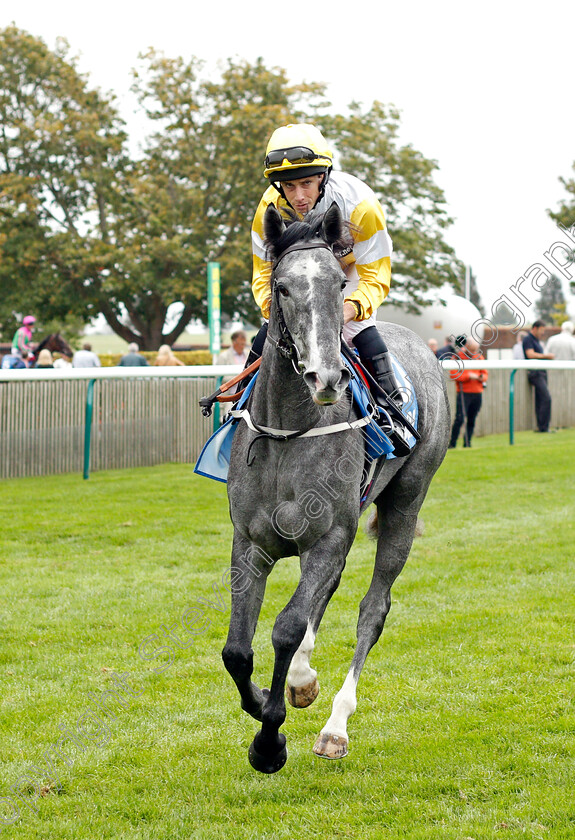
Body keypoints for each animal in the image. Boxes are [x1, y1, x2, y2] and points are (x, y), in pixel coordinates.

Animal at [223, 203, 452, 776]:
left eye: (337, 283)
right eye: (282, 286)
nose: (324, 377)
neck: (290, 432)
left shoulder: (327, 537)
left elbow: (285, 627)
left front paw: (270, 741)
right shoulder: (251, 542)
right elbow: (237, 649)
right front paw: (272, 697)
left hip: (404, 504)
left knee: (373, 609)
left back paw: (334, 727)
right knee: (324, 598)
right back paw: (302, 682)